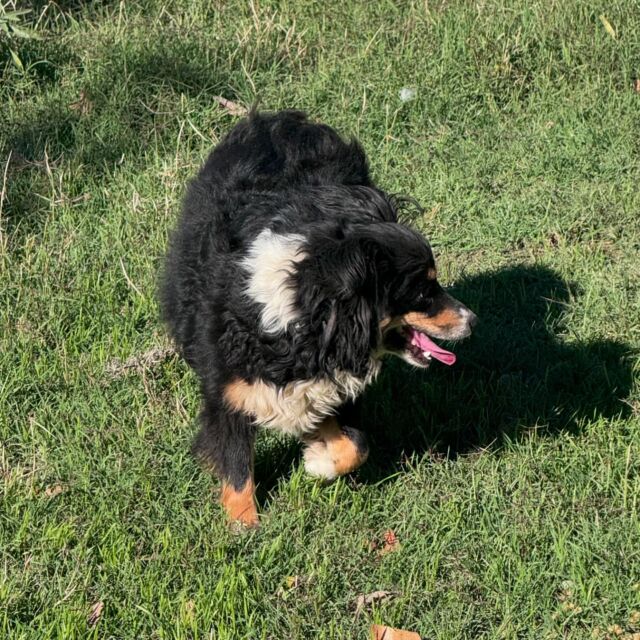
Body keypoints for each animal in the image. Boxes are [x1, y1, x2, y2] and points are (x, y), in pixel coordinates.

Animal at [161, 110, 476, 528]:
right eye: (423, 292)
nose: (472, 320)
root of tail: (278, 119)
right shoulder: (229, 388)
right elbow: (238, 464)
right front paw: (243, 528)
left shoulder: (328, 380)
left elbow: (356, 445)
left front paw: (317, 462)